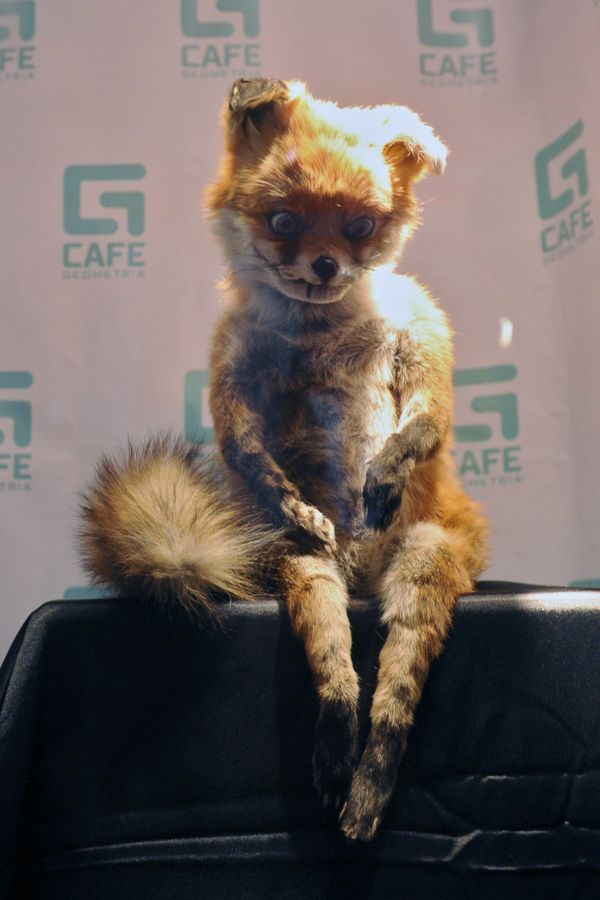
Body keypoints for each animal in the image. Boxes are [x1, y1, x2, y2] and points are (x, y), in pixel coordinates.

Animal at [80, 78, 489, 841]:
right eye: (284, 222)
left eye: (359, 228)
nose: (325, 267)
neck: (323, 334)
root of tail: (362, 578)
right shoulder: (233, 372)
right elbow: (244, 450)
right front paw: (294, 497)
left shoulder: (420, 335)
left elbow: (427, 421)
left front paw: (385, 470)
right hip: (301, 567)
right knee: (335, 664)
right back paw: (336, 748)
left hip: (425, 563)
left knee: (394, 698)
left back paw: (368, 787)